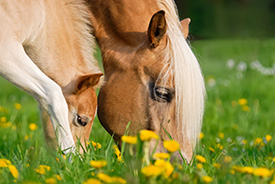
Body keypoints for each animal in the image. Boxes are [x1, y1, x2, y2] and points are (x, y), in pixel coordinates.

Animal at [0, 0, 103, 154]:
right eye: (82, 121)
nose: (83, 156)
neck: (41, 12)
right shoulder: (6, 49)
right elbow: (53, 93)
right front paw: (71, 156)